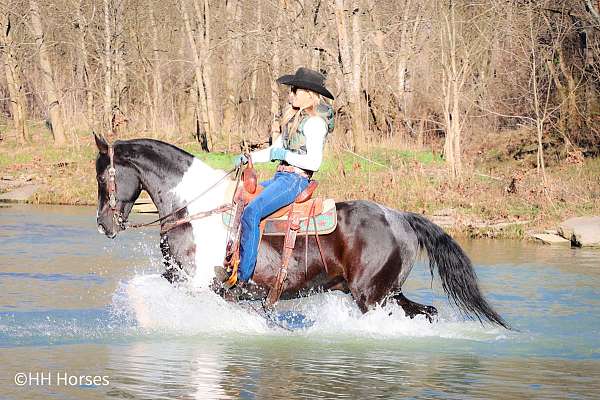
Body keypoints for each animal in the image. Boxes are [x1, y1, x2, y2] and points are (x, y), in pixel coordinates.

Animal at [95, 134, 510, 328]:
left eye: (102, 177)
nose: (103, 224)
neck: (196, 208)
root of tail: (400, 217)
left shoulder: (196, 282)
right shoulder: (180, 279)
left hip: (371, 295)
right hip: (389, 292)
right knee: (426, 311)